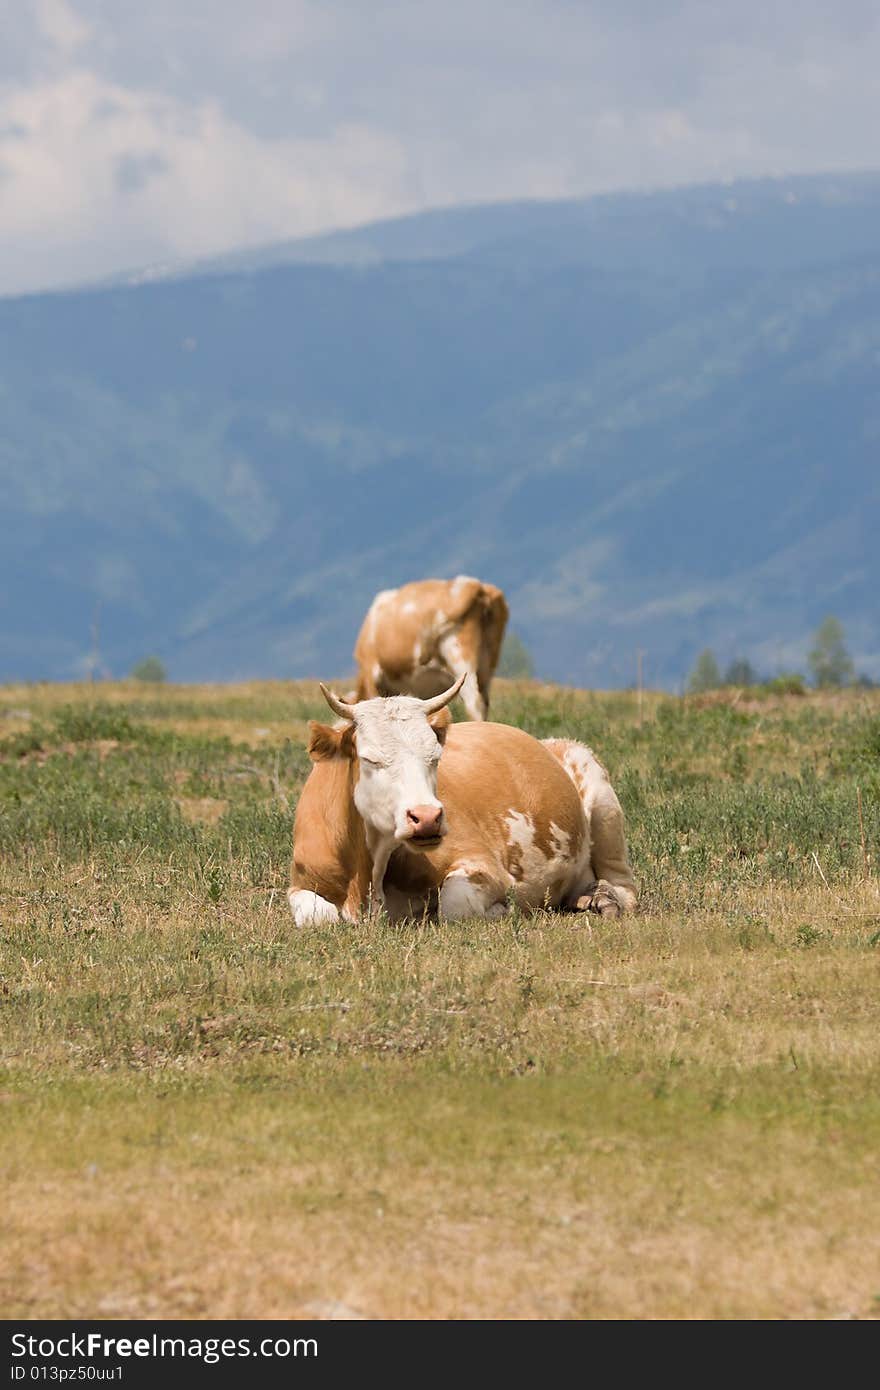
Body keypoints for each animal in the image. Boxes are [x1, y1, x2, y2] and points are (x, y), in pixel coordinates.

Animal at [290, 678, 639, 928]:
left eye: (434, 756)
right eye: (370, 759)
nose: (427, 817)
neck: (366, 876)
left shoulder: (484, 866)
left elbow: (454, 906)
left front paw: (502, 910)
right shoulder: (301, 882)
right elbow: (317, 917)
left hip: (603, 804)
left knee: (624, 887)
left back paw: (604, 898)